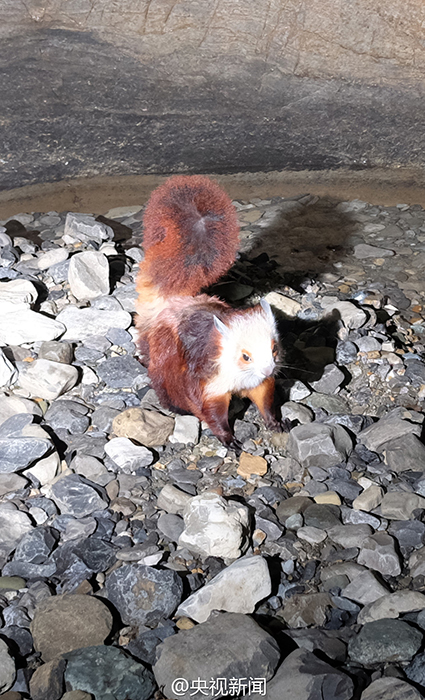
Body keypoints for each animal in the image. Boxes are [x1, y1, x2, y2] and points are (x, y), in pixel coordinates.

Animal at [134, 175, 284, 448]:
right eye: (245, 356)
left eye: (274, 348)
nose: (269, 370)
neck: (239, 376)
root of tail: (174, 303)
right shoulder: (209, 385)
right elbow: (211, 413)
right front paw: (228, 439)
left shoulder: (260, 384)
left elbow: (266, 401)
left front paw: (276, 423)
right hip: (166, 361)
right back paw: (174, 407)